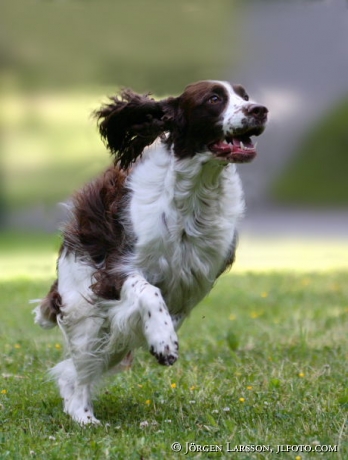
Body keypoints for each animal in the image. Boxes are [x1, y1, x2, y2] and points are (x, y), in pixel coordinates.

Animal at [34, 80, 268, 424]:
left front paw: (163, 336)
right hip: (85, 312)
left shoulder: (192, 285)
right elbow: (147, 291)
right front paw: (164, 342)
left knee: (78, 370)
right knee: (78, 372)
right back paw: (85, 418)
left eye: (245, 96)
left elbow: (165, 307)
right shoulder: (115, 272)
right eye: (214, 98)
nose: (260, 110)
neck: (196, 193)